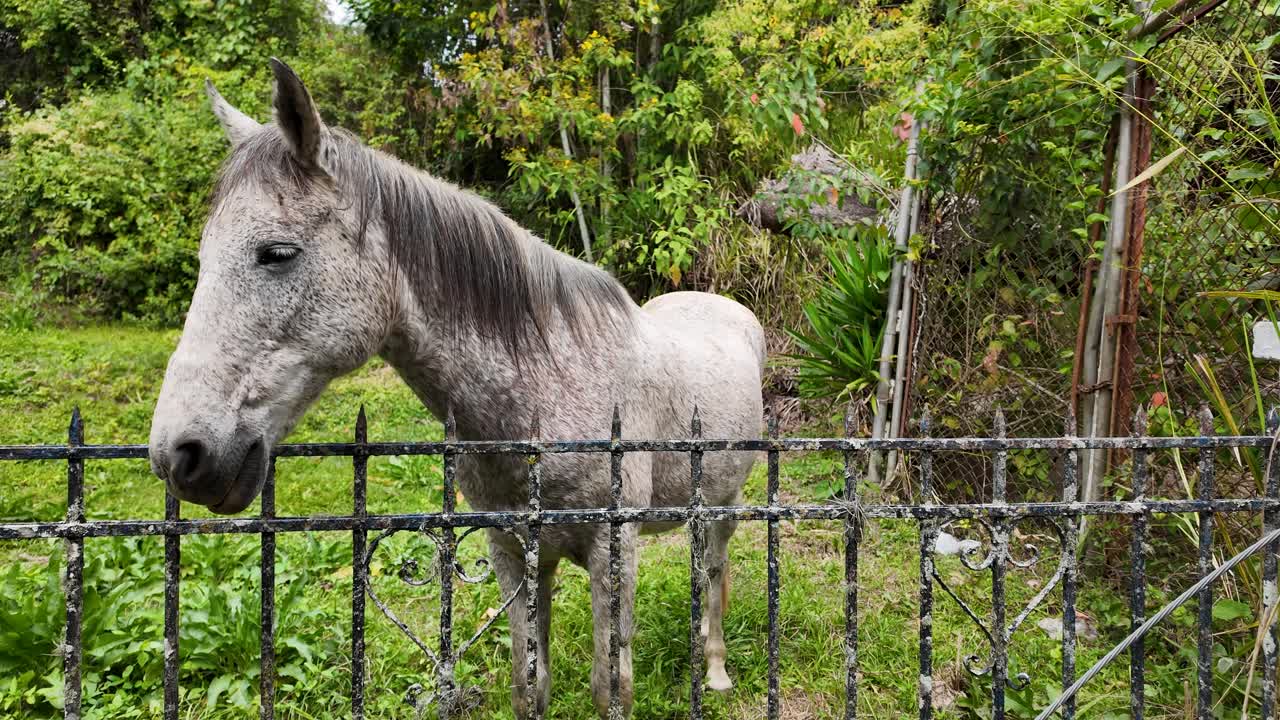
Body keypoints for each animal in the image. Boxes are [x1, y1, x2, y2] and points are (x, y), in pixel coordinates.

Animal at [147, 58, 765, 718]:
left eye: (278, 252)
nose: (180, 454)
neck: (548, 393)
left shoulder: (612, 550)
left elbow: (612, 686)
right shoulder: (512, 551)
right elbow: (529, 685)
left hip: (726, 504)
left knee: (715, 567)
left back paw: (716, 670)